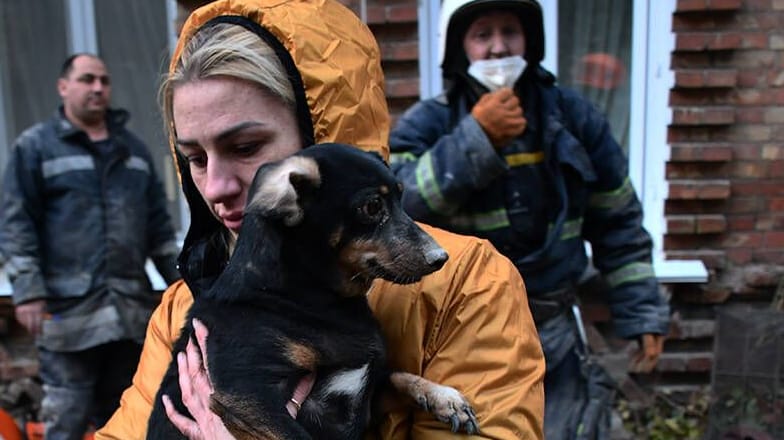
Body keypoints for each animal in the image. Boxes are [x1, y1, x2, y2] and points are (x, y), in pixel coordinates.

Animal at [146, 144, 478, 440]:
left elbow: (399, 375)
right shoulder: (245, 395)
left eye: (401, 196)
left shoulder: (367, 391)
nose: (440, 258)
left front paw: (445, 398)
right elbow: (296, 436)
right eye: (372, 206)